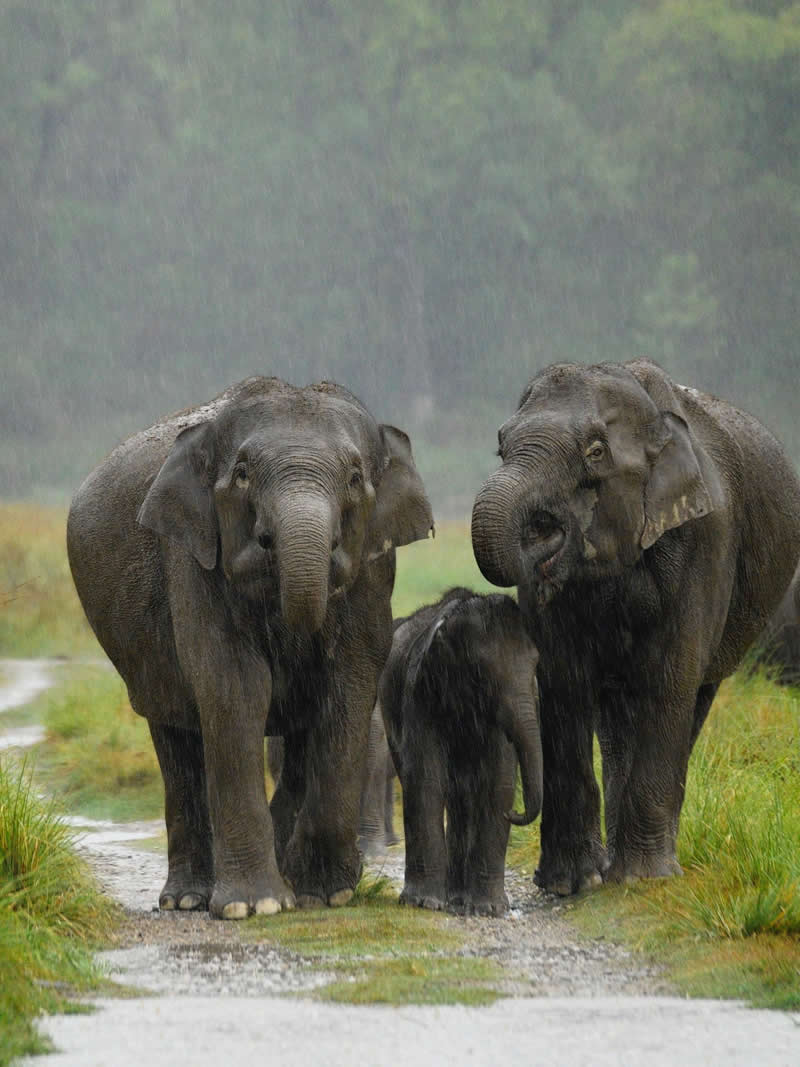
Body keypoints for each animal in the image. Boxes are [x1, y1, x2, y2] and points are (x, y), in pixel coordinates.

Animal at [67, 376, 433, 919]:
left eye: (353, 478)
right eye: (241, 475)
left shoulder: (374, 567)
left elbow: (347, 683)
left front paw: (327, 894)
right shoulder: (194, 557)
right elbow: (235, 686)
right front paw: (254, 906)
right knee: (175, 739)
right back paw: (187, 899)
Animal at [380, 587, 542, 915]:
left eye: (535, 666)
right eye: (480, 675)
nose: (514, 813)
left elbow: (498, 784)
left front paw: (489, 909)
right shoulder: (421, 693)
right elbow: (425, 780)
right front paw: (425, 903)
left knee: (462, 797)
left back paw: (458, 899)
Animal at [471, 358, 800, 896]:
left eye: (595, 452)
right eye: (500, 445)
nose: (540, 536)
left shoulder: (706, 537)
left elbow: (669, 680)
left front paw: (644, 881)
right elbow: (562, 682)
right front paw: (571, 883)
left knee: (690, 700)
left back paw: (644, 866)